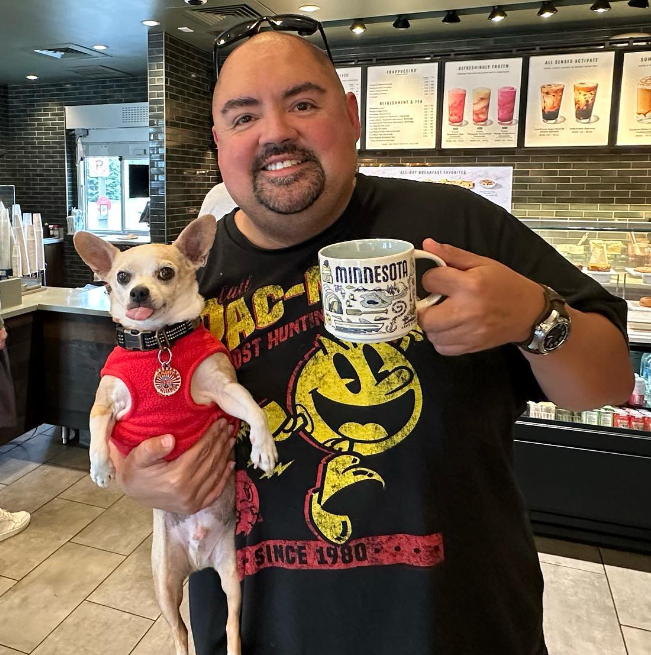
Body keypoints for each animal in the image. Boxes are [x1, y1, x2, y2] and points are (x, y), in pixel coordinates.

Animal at [74, 215, 278, 655]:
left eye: (165, 273)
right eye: (121, 276)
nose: (138, 291)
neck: (158, 345)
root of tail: (199, 558)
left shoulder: (223, 388)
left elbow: (252, 408)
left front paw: (264, 448)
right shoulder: (106, 402)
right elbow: (96, 427)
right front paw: (100, 467)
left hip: (232, 579)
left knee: (232, 626)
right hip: (165, 585)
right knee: (180, 633)